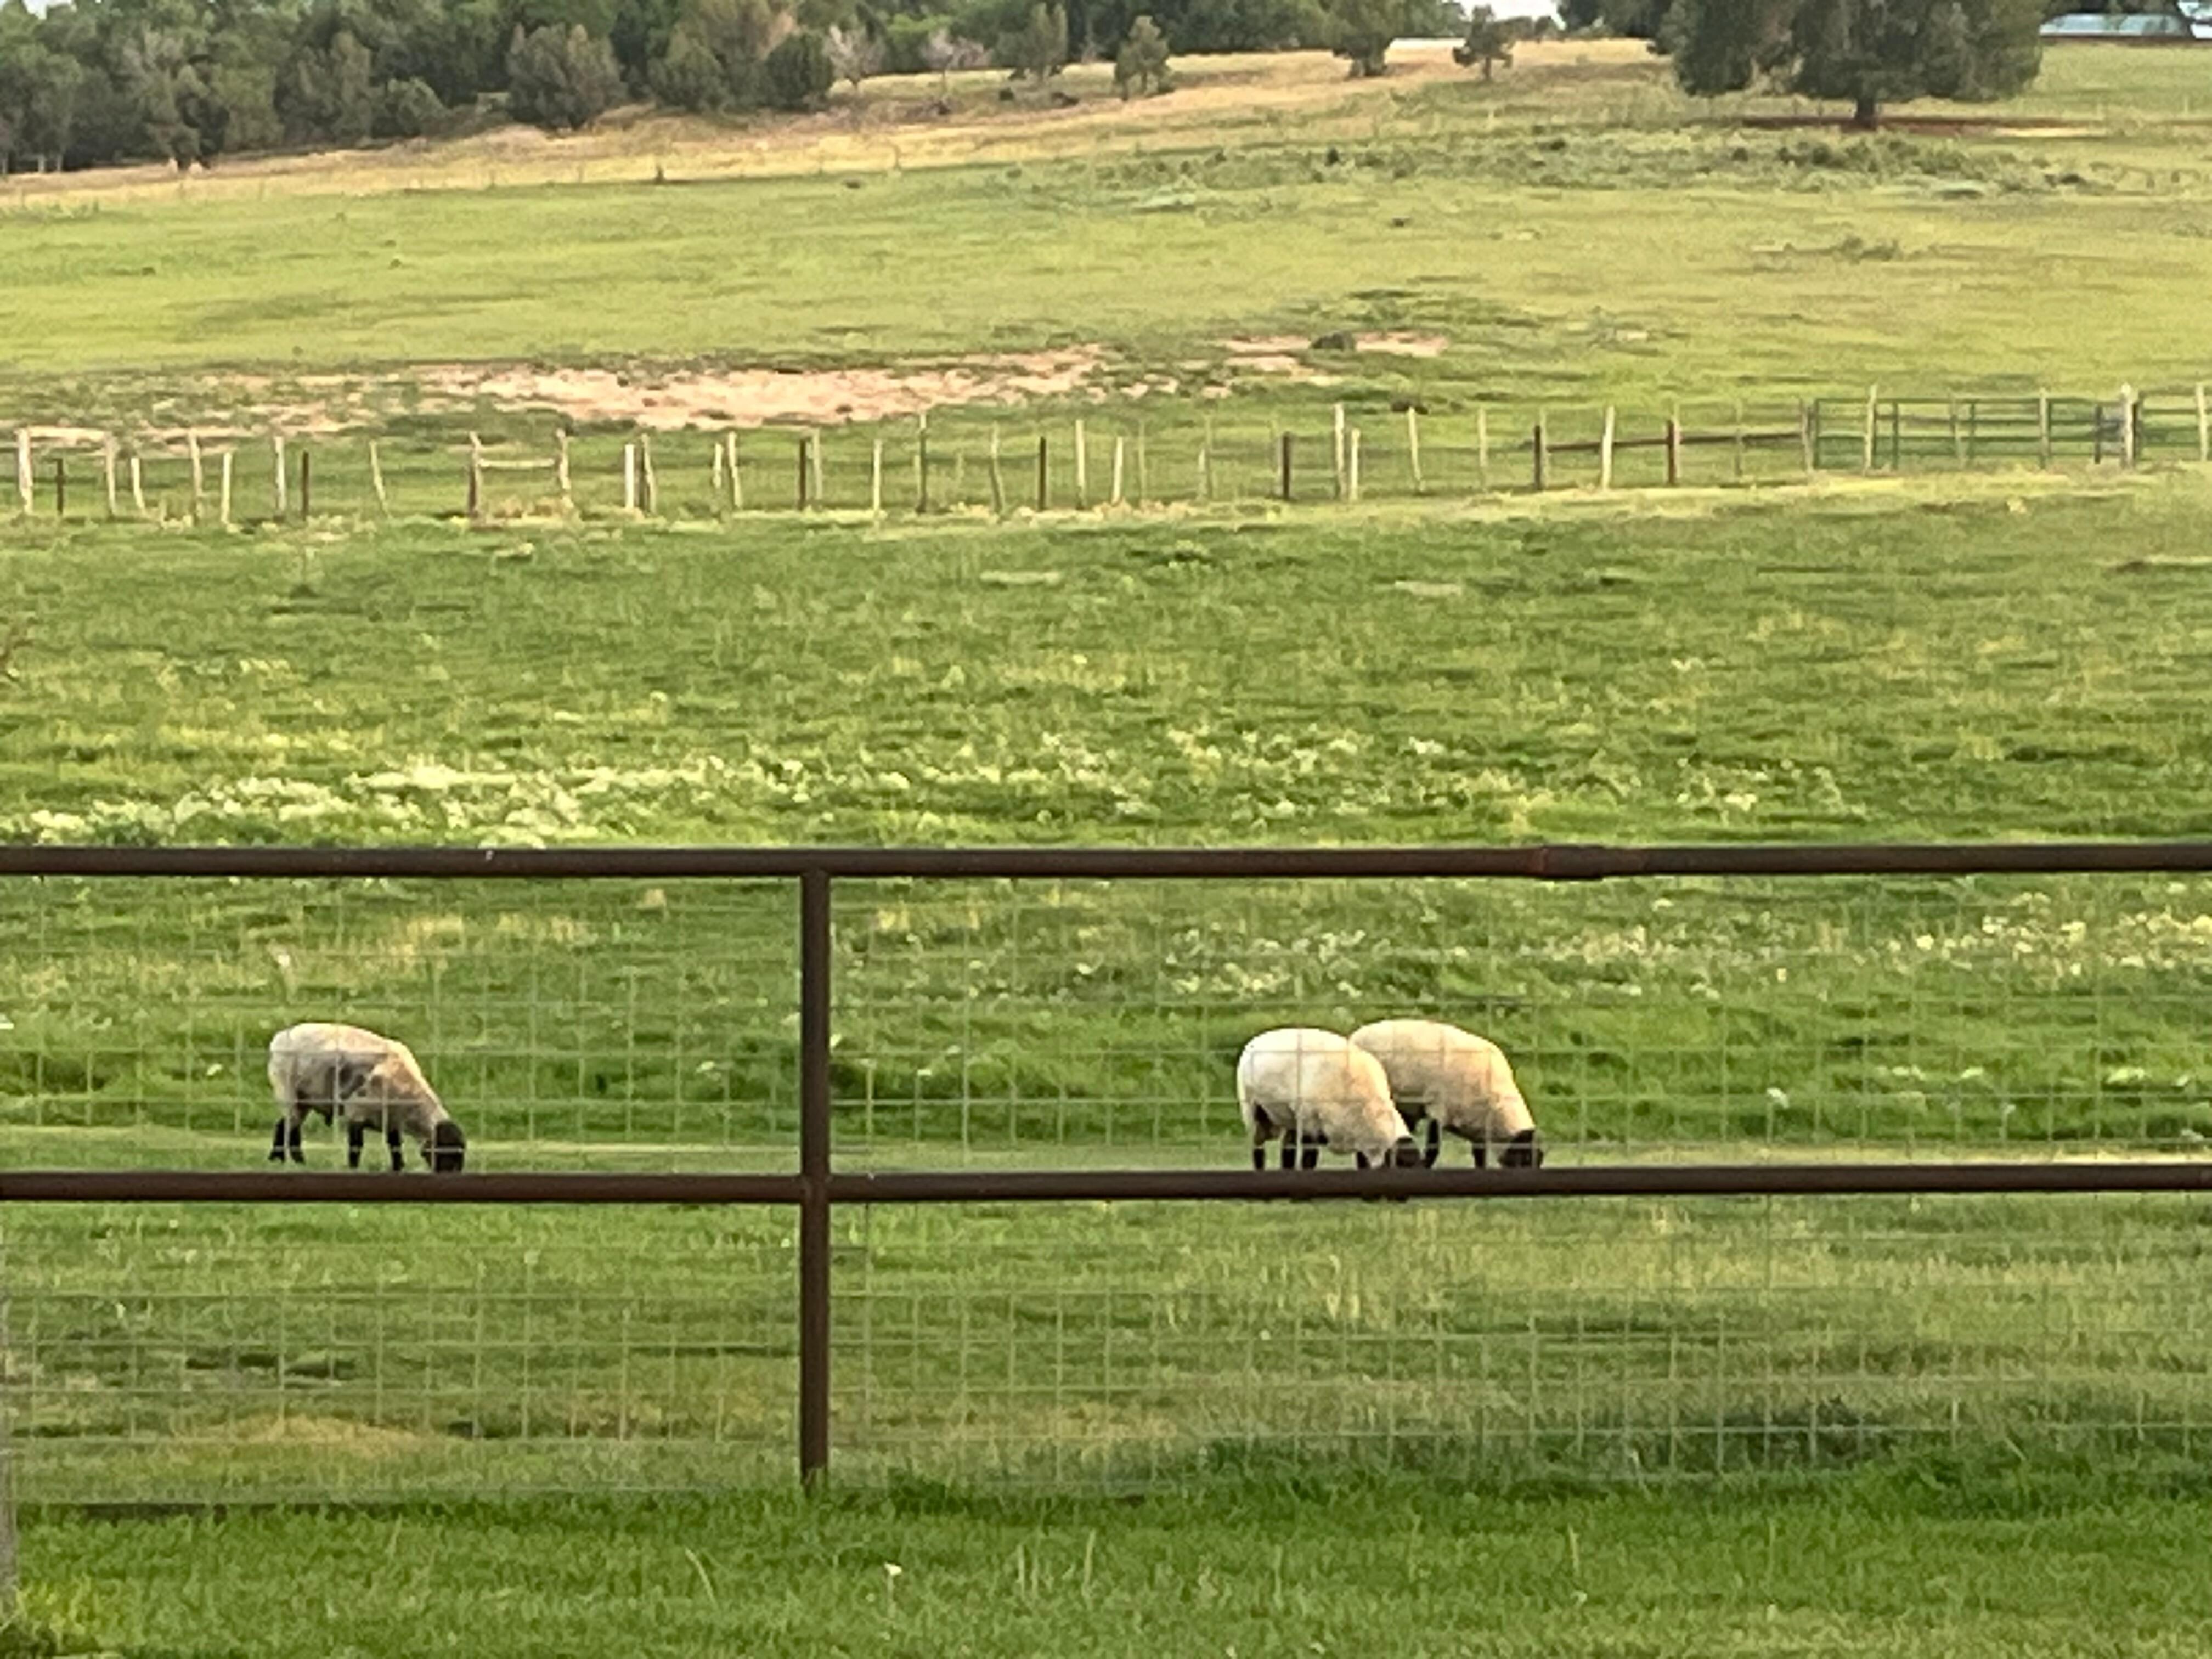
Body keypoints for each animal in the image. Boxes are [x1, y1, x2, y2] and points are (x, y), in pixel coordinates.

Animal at [267, 1022, 467, 1174]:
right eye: (449, 1153)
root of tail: (280, 1037)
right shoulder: (356, 1112)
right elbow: (357, 1145)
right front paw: (353, 1169)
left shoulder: (392, 1120)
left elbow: (395, 1145)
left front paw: (398, 1168)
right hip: (288, 1092)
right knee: (288, 1126)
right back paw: (286, 1160)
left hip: (305, 1100)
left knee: (286, 1125)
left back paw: (288, 1161)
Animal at [1236, 1027, 1422, 1172]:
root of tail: (1256, 1040)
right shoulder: (1310, 1123)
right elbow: (1309, 1160)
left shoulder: (1358, 1133)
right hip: (1253, 1109)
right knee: (1258, 1146)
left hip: (1289, 1116)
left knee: (1287, 1146)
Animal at [1349, 1018, 1541, 1169]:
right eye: (1525, 1158)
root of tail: (1356, 1035)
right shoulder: (1439, 1108)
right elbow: (1434, 1148)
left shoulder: (1477, 1122)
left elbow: (1479, 1153)